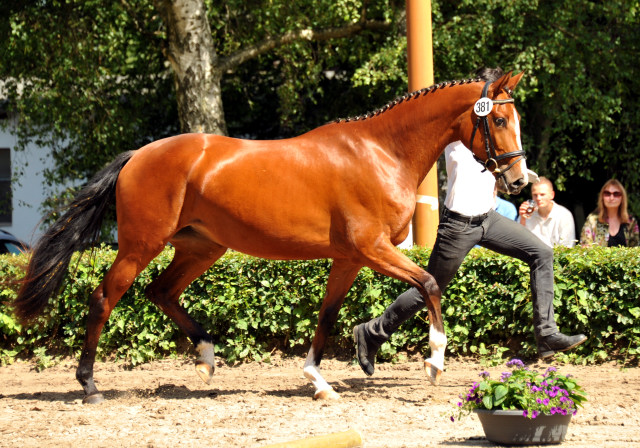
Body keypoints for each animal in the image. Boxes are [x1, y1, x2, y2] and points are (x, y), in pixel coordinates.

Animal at [13, 72, 528, 402]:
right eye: (499, 120)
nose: (519, 181)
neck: (382, 152)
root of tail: (138, 155)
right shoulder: (373, 249)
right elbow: (430, 283)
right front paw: (435, 363)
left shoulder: (350, 258)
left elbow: (327, 315)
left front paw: (319, 381)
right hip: (141, 246)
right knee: (105, 298)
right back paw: (89, 385)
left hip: (202, 246)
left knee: (161, 291)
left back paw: (206, 356)